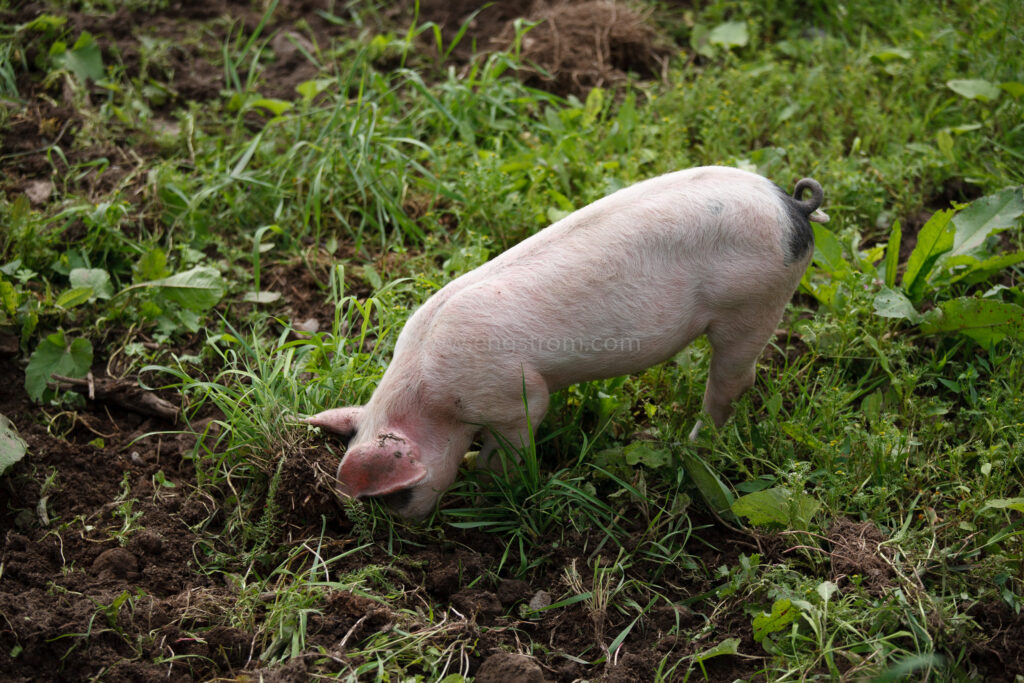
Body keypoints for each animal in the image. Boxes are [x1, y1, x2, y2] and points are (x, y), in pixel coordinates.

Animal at [307, 165, 827, 518]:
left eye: (397, 495)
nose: (403, 528)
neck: (430, 396)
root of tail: (793, 207)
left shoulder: (516, 398)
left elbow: (516, 440)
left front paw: (488, 484)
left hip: (754, 304)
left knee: (733, 382)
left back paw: (692, 446)